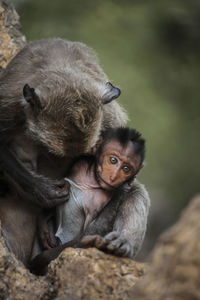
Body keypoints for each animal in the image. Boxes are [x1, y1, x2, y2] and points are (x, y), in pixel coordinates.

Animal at [30, 126, 145, 274]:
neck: (94, 182)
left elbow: (87, 234)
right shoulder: (80, 163)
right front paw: (43, 220)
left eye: (126, 168)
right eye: (113, 160)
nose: (114, 176)